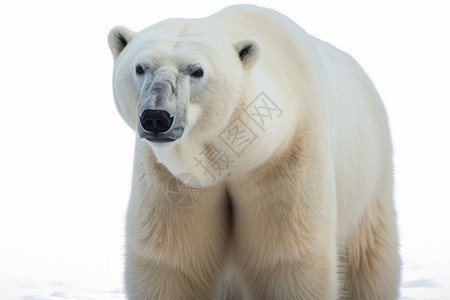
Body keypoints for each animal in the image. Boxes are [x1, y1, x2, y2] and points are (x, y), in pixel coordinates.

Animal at [108, 3, 400, 298]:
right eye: (140, 67)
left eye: (197, 71)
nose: (156, 117)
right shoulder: (173, 180)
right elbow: (169, 258)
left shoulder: (285, 158)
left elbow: (288, 257)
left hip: (369, 180)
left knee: (367, 259)